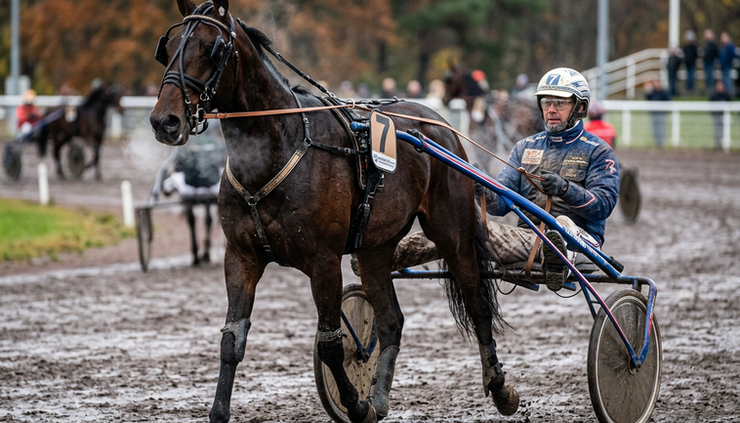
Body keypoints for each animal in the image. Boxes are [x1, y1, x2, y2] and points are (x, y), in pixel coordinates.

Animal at [149, 1, 519, 422]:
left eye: (210, 47)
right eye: (168, 47)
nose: (165, 121)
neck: (279, 148)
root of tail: (439, 124)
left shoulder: (322, 260)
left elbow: (330, 344)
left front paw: (354, 404)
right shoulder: (241, 256)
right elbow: (232, 339)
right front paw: (219, 411)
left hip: (452, 232)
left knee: (477, 304)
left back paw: (499, 386)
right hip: (374, 247)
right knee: (391, 321)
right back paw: (379, 396)